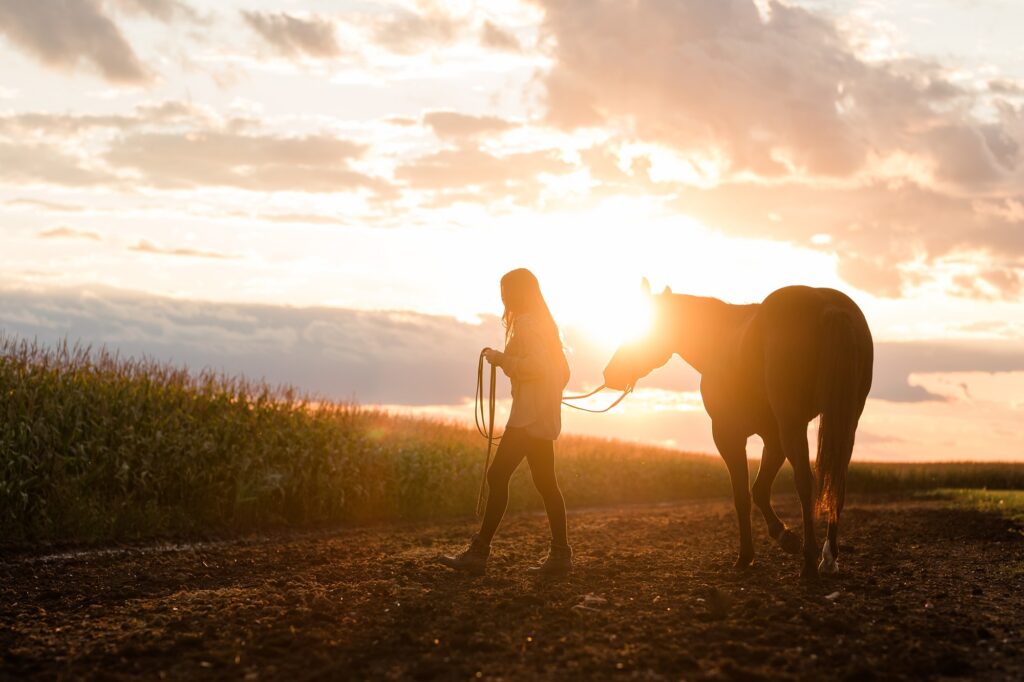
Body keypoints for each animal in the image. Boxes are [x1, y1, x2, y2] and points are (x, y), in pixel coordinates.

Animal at [603, 281, 873, 578]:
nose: (610, 373)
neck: (720, 339)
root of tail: (827, 305)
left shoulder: (727, 434)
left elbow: (742, 495)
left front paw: (747, 556)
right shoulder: (772, 438)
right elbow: (760, 489)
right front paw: (785, 537)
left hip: (793, 423)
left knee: (805, 482)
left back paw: (810, 563)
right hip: (845, 422)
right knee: (837, 486)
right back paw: (829, 557)